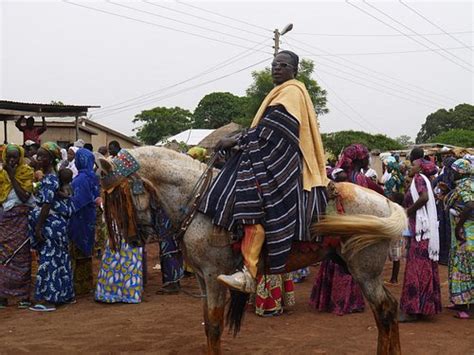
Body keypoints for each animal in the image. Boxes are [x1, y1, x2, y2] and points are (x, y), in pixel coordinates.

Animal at [97, 146, 408, 354]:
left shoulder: (215, 275)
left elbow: (213, 325)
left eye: (119, 196)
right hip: (356, 267)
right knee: (387, 309)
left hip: (364, 270)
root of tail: (386, 202)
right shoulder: (201, 276)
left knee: (385, 309)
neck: (201, 201)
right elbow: (206, 323)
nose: (136, 239)